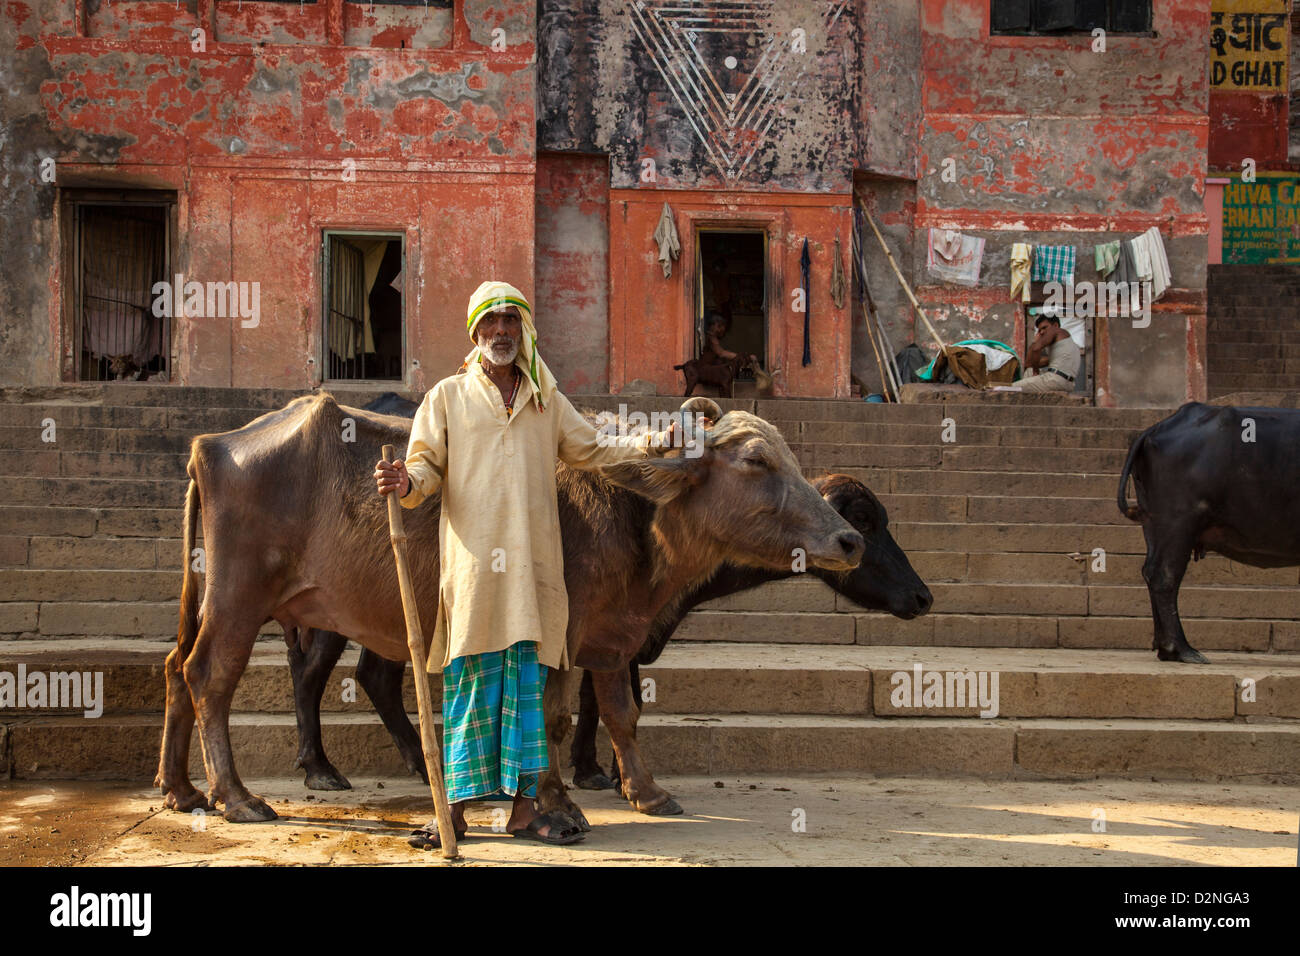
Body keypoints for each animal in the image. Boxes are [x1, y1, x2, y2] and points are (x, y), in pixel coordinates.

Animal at [159, 395, 863, 822]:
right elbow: (550, 717)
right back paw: (236, 797)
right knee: (209, 677)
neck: (630, 510)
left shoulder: (610, 637)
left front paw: (647, 793)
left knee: (175, 669)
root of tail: (212, 445)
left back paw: (182, 788)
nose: (849, 540)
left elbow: (622, 716)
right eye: (757, 460)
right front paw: (554, 802)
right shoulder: (559, 636)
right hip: (239, 598)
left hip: (212, 598)